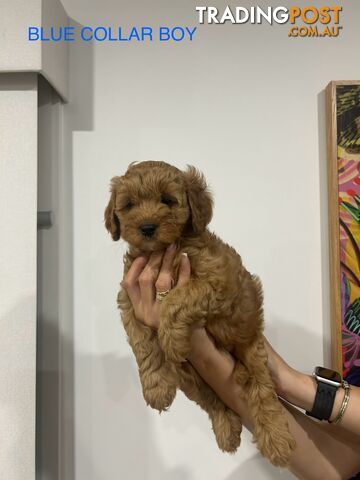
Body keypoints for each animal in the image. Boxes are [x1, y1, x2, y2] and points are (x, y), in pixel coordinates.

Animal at [104, 160, 296, 464]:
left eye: (167, 200)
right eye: (130, 205)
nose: (147, 227)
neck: (162, 251)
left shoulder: (219, 282)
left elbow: (176, 300)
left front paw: (171, 341)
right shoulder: (129, 298)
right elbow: (141, 343)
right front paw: (156, 387)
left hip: (251, 350)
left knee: (263, 391)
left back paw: (276, 439)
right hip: (189, 378)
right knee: (213, 401)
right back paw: (227, 430)